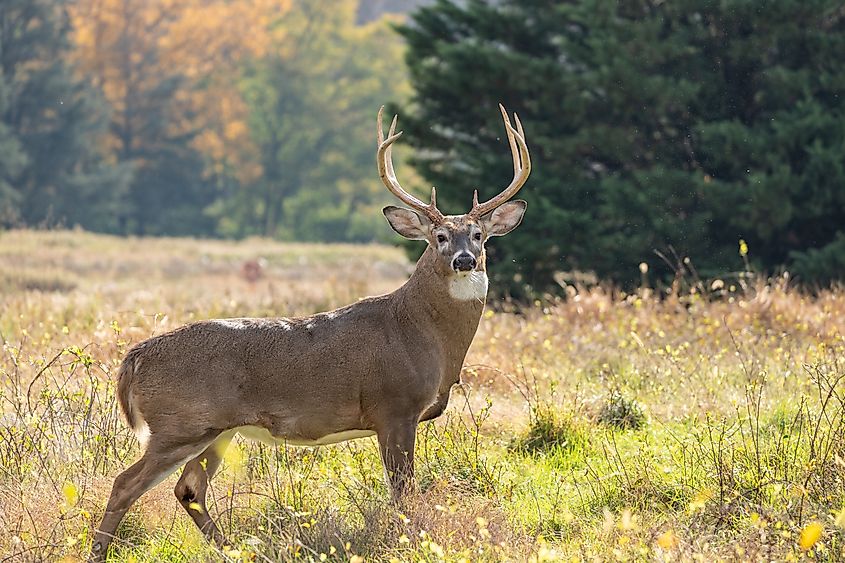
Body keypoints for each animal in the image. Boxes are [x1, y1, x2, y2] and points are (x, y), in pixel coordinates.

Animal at [90, 104, 528, 560]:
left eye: (478, 235)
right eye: (439, 236)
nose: (464, 260)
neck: (422, 334)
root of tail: (135, 356)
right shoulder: (394, 407)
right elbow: (403, 493)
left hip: (216, 430)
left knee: (189, 488)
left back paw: (235, 549)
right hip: (180, 424)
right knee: (126, 484)